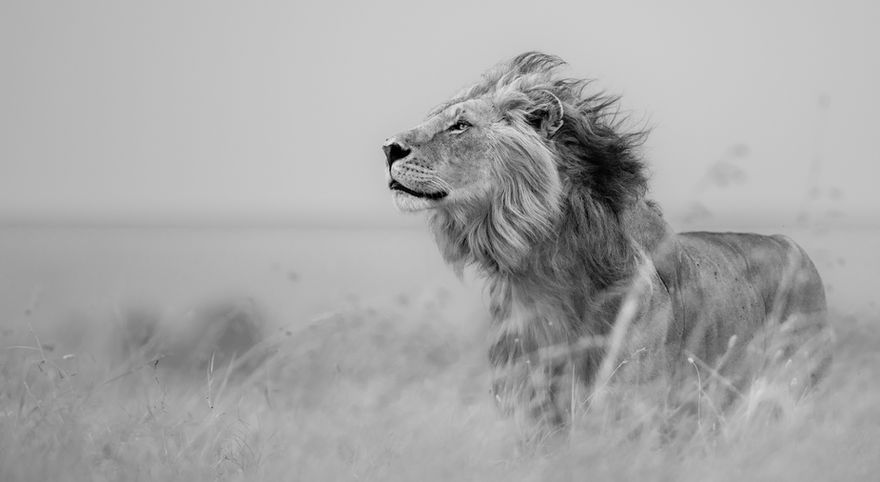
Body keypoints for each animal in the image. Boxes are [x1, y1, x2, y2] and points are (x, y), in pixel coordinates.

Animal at [382, 52, 832, 429]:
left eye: (461, 125)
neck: (541, 276)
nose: (388, 147)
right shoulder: (527, 411)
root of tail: (792, 247)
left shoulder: (626, 408)